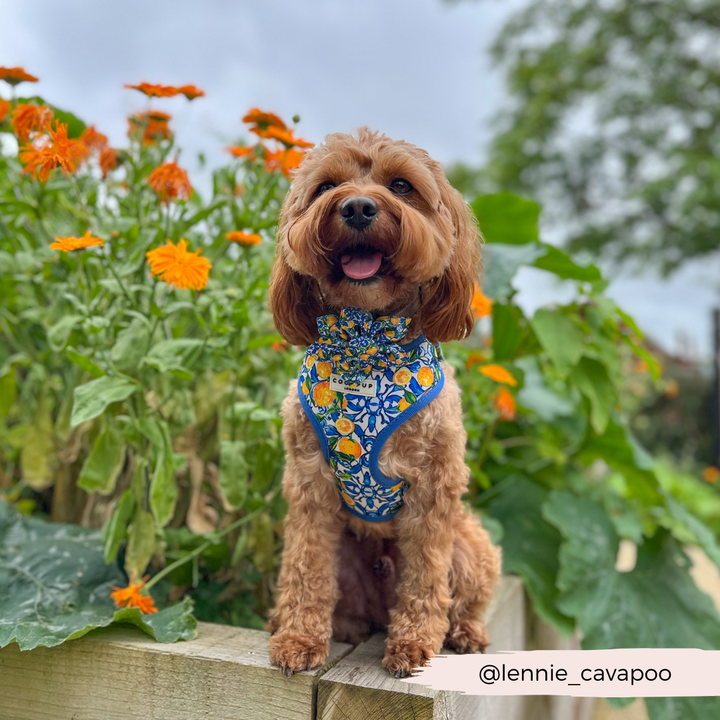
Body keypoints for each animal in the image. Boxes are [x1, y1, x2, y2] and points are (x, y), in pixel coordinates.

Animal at [266, 128, 500, 676]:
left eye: (401, 185)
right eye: (327, 186)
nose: (356, 207)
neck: (365, 347)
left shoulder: (433, 491)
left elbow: (425, 580)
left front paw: (414, 645)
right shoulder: (309, 484)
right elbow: (305, 571)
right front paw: (298, 639)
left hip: (471, 543)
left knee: (463, 598)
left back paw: (464, 634)